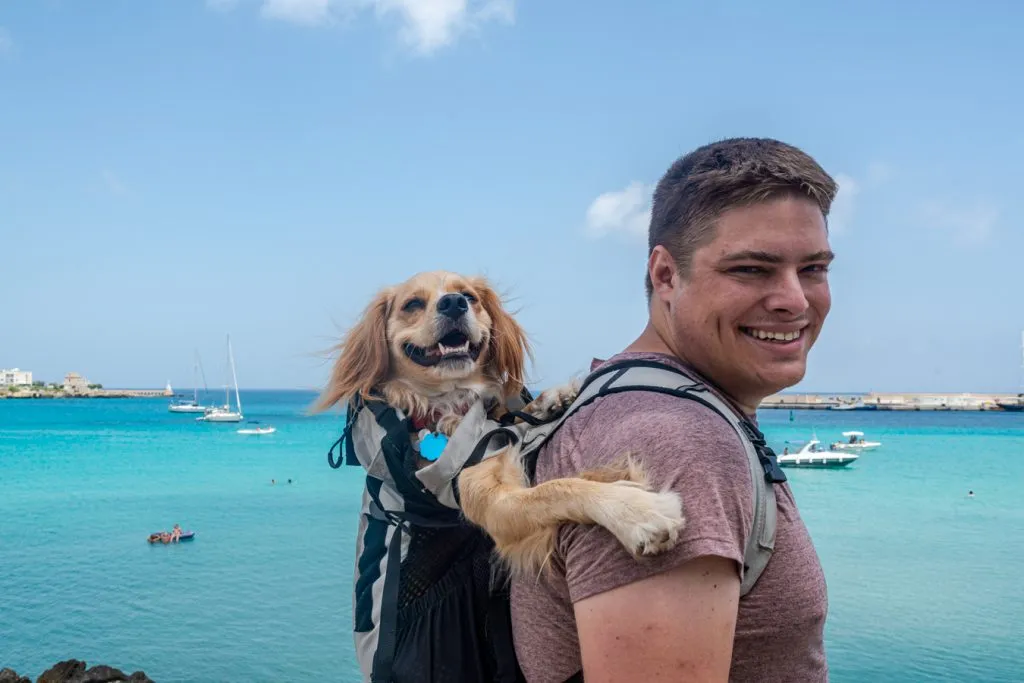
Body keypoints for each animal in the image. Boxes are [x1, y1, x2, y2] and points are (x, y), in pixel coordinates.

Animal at [311, 270, 679, 573]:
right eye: (412, 304)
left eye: (470, 296)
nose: (454, 302)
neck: (455, 405)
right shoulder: (493, 504)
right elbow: (558, 488)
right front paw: (636, 511)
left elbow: (515, 416)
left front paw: (553, 398)